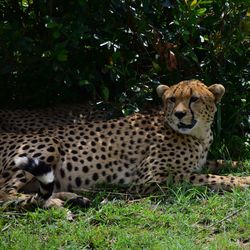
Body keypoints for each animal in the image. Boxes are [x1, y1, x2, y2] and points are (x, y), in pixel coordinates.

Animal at [0, 79, 250, 207]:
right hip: (47, 144)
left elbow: (224, 163)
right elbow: (210, 178)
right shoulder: (150, 179)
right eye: (172, 99)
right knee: (6, 194)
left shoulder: (200, 162)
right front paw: (241, 181)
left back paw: (73, 198)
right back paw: (51, 203)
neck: (198, 135)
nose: (179, 114)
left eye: (194, 99)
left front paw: (241, 168)